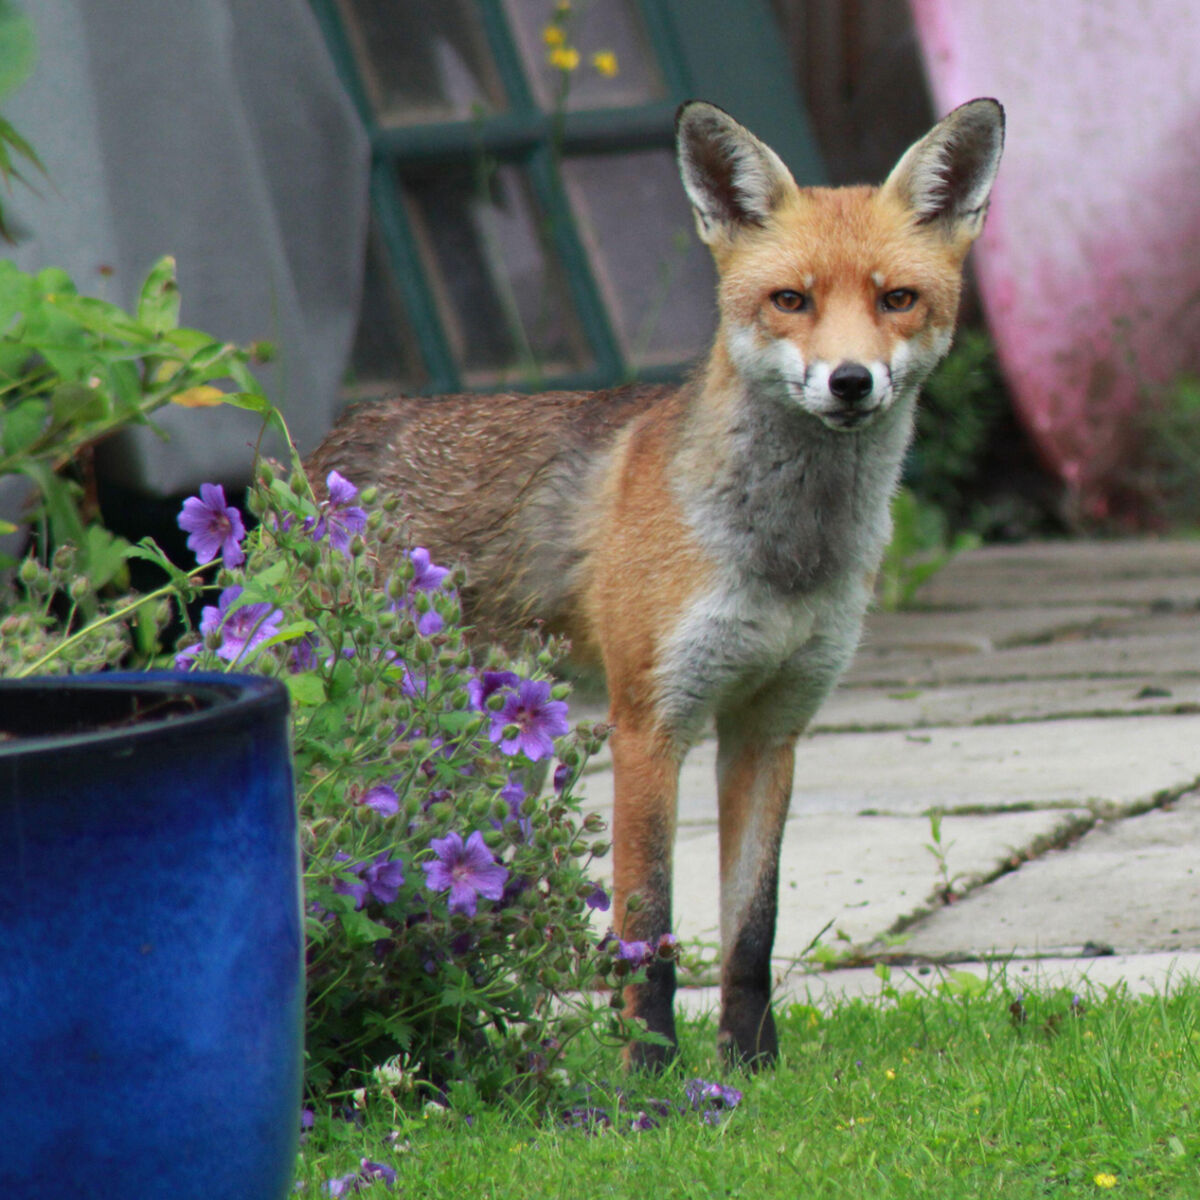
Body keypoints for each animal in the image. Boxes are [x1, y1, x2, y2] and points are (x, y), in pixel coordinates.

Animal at [307, 97, 1005, 1068]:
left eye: (897, 299)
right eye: (791, 300)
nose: (850, 381)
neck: (784, 557)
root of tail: (334, 443)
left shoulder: (769, 729)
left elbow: (752, 930)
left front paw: (751, 1069)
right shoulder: (651, 724)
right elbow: (649, 930)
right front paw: (650, 1073)